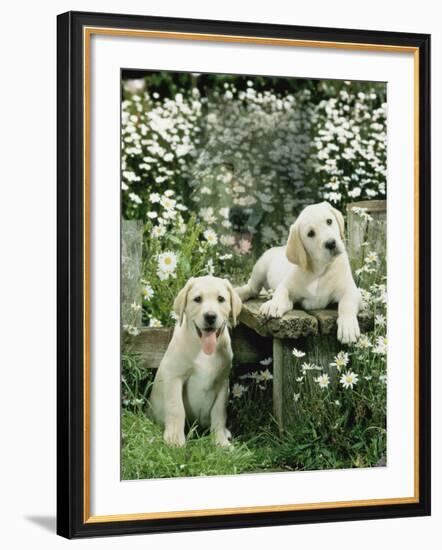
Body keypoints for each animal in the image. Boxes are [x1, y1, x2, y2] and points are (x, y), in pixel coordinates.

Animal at [148, 276, 242, 448]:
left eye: (221, 299)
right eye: (197, 299)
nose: (210, 316)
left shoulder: (222, 383)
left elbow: (219, 413)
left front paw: (220, 442)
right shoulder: (174, 377)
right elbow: (176, 408)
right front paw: (175, 439)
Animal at [237, 203, 360, 344]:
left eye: (329, 221)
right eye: (310, 233)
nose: (331, 243)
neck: (319, 270)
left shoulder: (352, 290)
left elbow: (346, 304)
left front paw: (348, 327)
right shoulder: (287, 285)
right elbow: (281, 292)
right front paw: (274, 304)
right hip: (260, 267)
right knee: (251, 288)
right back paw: (240, 292)